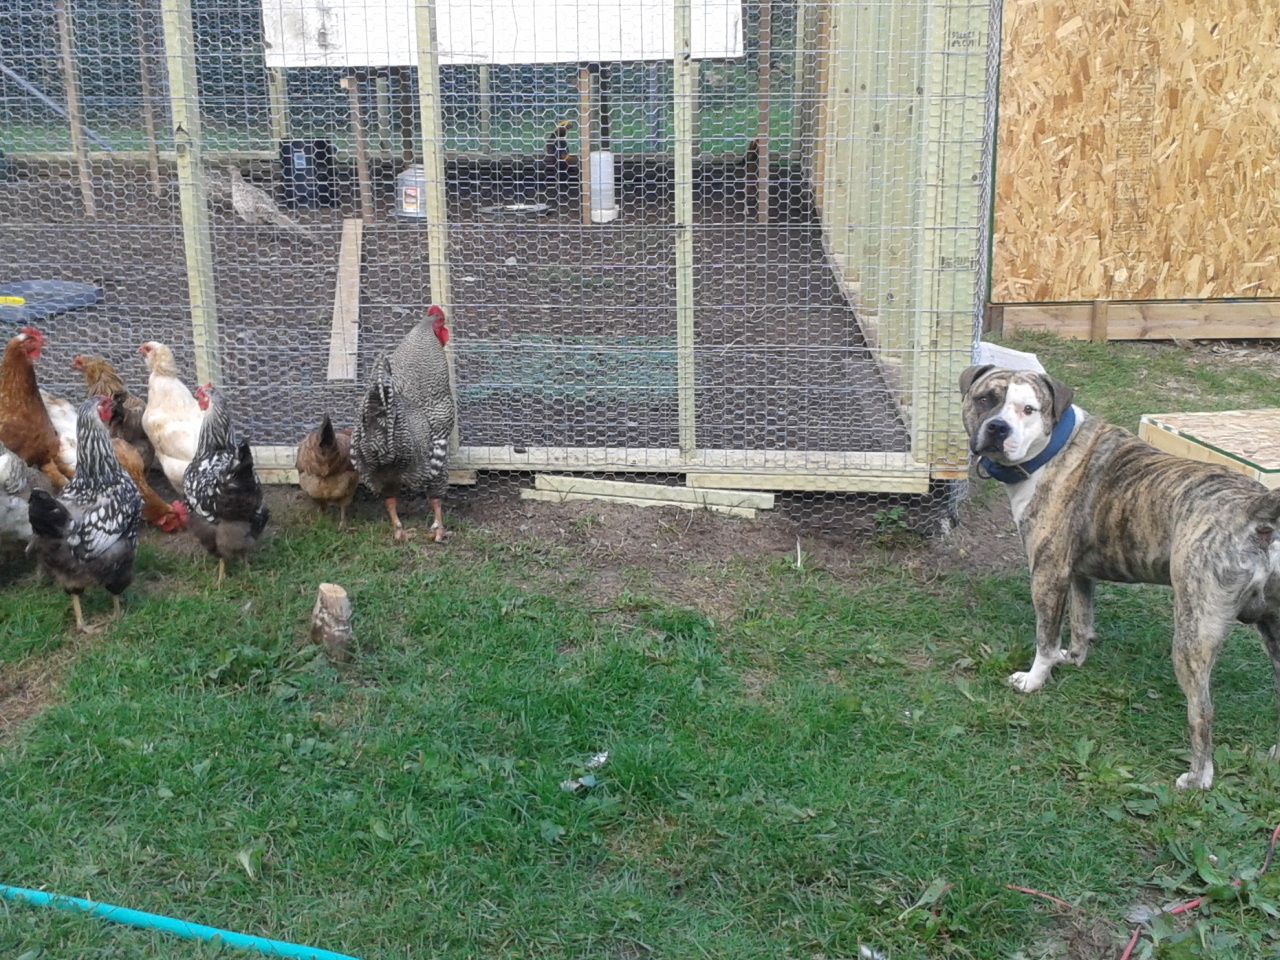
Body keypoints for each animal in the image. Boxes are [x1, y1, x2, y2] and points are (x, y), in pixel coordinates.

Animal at [960, 364, 1280, 789]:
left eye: (1028, 409)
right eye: (986, 399)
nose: (998, 428)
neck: (1054, 447)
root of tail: (1256, 511)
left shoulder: (1048, 574)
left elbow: (1046, 637)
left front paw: (1035, 679)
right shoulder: (1078, 574)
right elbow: (1082, 623)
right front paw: (1072, 658)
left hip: (1193, 634)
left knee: (1202, 712)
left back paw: (1198, 778)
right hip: (1273, 632)